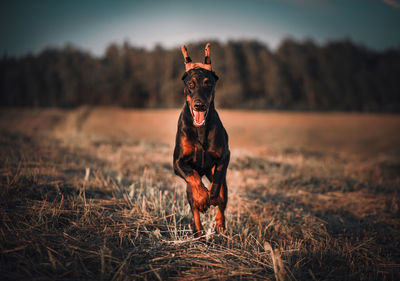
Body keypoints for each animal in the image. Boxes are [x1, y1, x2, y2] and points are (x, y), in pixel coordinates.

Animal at [173, 43, 230, 236]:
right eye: (190, 84)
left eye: (208, 83)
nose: (199, 105)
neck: (200, 129)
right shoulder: (177, 162)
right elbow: (193, 177)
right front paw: (202, 197)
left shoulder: (224, 156)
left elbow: (218, 181)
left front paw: (211, 196)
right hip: (187, 191)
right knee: (195, 210)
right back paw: (199, 234)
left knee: (222, 200)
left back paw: (220, 224)